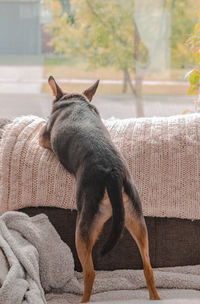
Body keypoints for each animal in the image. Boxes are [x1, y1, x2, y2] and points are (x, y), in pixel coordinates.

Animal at [39, 76, 160, 302]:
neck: (75, 100)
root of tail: (112, 173)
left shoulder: (43, 137)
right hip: (136, 220)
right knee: (148, 267)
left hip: (83, 229)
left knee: (90, 273)